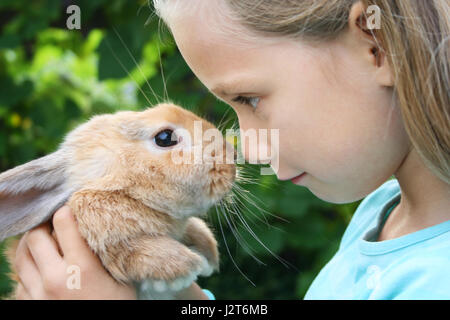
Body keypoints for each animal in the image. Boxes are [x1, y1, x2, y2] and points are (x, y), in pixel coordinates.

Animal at [0, 103, 237, 300]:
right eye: (164, 138)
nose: (232, 155)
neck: (129, 194)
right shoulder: (111, 239)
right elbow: (137, 252)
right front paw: (187, 267)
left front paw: (208, 253)